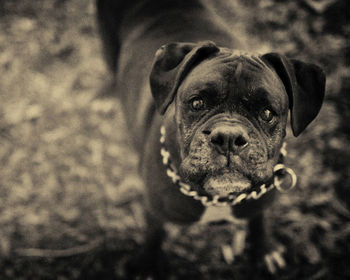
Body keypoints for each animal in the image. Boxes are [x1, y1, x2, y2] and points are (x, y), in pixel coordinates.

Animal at [95, 0, 326, 278]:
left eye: (267, 112)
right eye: (197, 103)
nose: (228, 137)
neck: (217, 198)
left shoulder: (259, 204)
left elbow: (259, 222)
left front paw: (264, 250)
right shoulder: (154, 211)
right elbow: (154, 236)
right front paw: (147, 264)